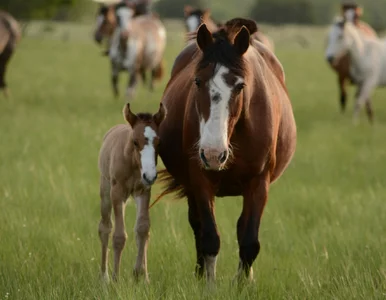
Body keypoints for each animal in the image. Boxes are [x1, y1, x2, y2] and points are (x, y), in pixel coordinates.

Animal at [98, 102, 166, 282]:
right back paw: (104, 277)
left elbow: (142, 229)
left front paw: (141, 276)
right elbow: (119, 235)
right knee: (105, 227)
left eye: (159, 142)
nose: (150, 175)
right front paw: (115, 279)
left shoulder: (143, 191)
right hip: (106, 191)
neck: (132, 163)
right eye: (135, 142)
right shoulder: (117, 193)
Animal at [155, 19, 298, 284]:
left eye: (240, 86)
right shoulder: (200, 180)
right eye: (197, 81)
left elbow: (249, 241)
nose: (213, 154)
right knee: (197, 226)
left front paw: (242, 285)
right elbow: (210, 238)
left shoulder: (259, 182)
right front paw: (208, 284)